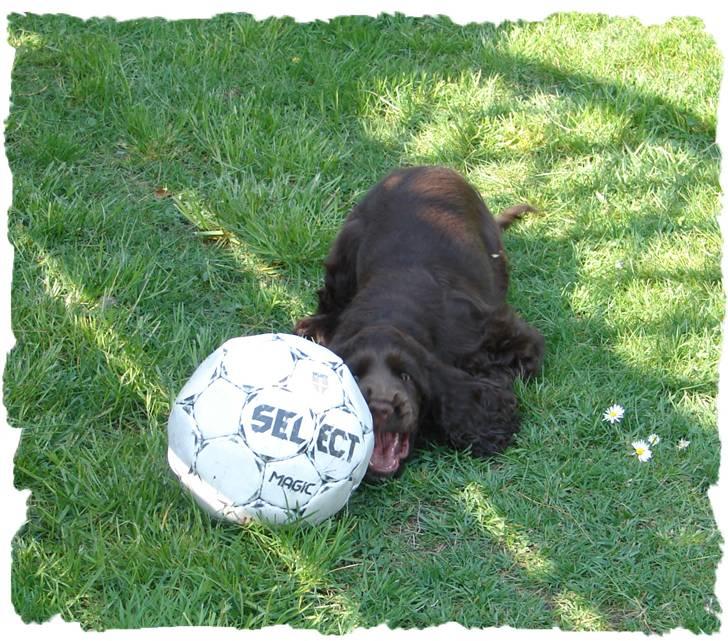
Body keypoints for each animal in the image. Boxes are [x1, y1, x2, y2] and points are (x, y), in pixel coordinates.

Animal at [294, 168, 540, 478]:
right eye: (355, 376)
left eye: (406, 376)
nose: (381, 408)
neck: (391, 307)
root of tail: (425, 166)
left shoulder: (499, 334)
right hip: (345, 246)